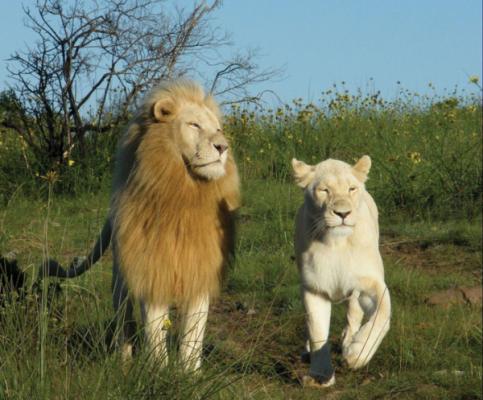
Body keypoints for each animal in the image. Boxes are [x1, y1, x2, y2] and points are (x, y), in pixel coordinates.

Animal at [43, 79, 240, 370]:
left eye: (218, 130)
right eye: (194, 125)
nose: (222, 147)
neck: (184, 195)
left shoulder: (200, 269)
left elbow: (193, 332)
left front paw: (190, 373)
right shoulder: (151, 268)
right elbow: (154, 329)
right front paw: (158, 370)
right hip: (121, 274)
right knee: (123, 315)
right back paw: (123, 360)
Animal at [294, 155, 392, 386]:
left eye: (351, 189)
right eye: (324, 190)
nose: (343, 213)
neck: (336, 243)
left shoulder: (371, 282)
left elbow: (383, 313)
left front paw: (357, 354)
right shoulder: (314, 288)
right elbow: (317, 330)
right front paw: (320, 375)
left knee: (354, 311)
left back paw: (349, 340)